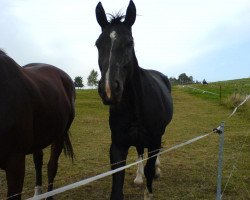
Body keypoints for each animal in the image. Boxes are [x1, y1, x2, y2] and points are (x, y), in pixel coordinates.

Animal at [94, 0, 173, 199]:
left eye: (130, 43)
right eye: (98, 44)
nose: (109, 89)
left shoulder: (154, 140)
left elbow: (150, 170)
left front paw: (150, 185)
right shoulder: (118, 145)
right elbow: (117, 185)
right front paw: (138, 179)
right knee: (138, 152)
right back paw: (138, 178)